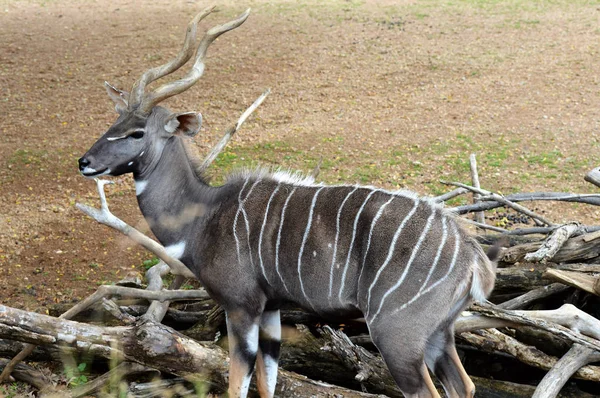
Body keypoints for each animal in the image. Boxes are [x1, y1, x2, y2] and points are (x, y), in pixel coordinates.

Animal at [78, 7, 496, 398]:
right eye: (114, 121)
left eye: (136, 132)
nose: (85, 162)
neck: (203, 215)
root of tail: (472, 254)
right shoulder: (271, 307)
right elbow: (268, 381)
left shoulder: (241, 305)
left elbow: (237, 382)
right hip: (439, 332)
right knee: (464, 385)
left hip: (397, 334)